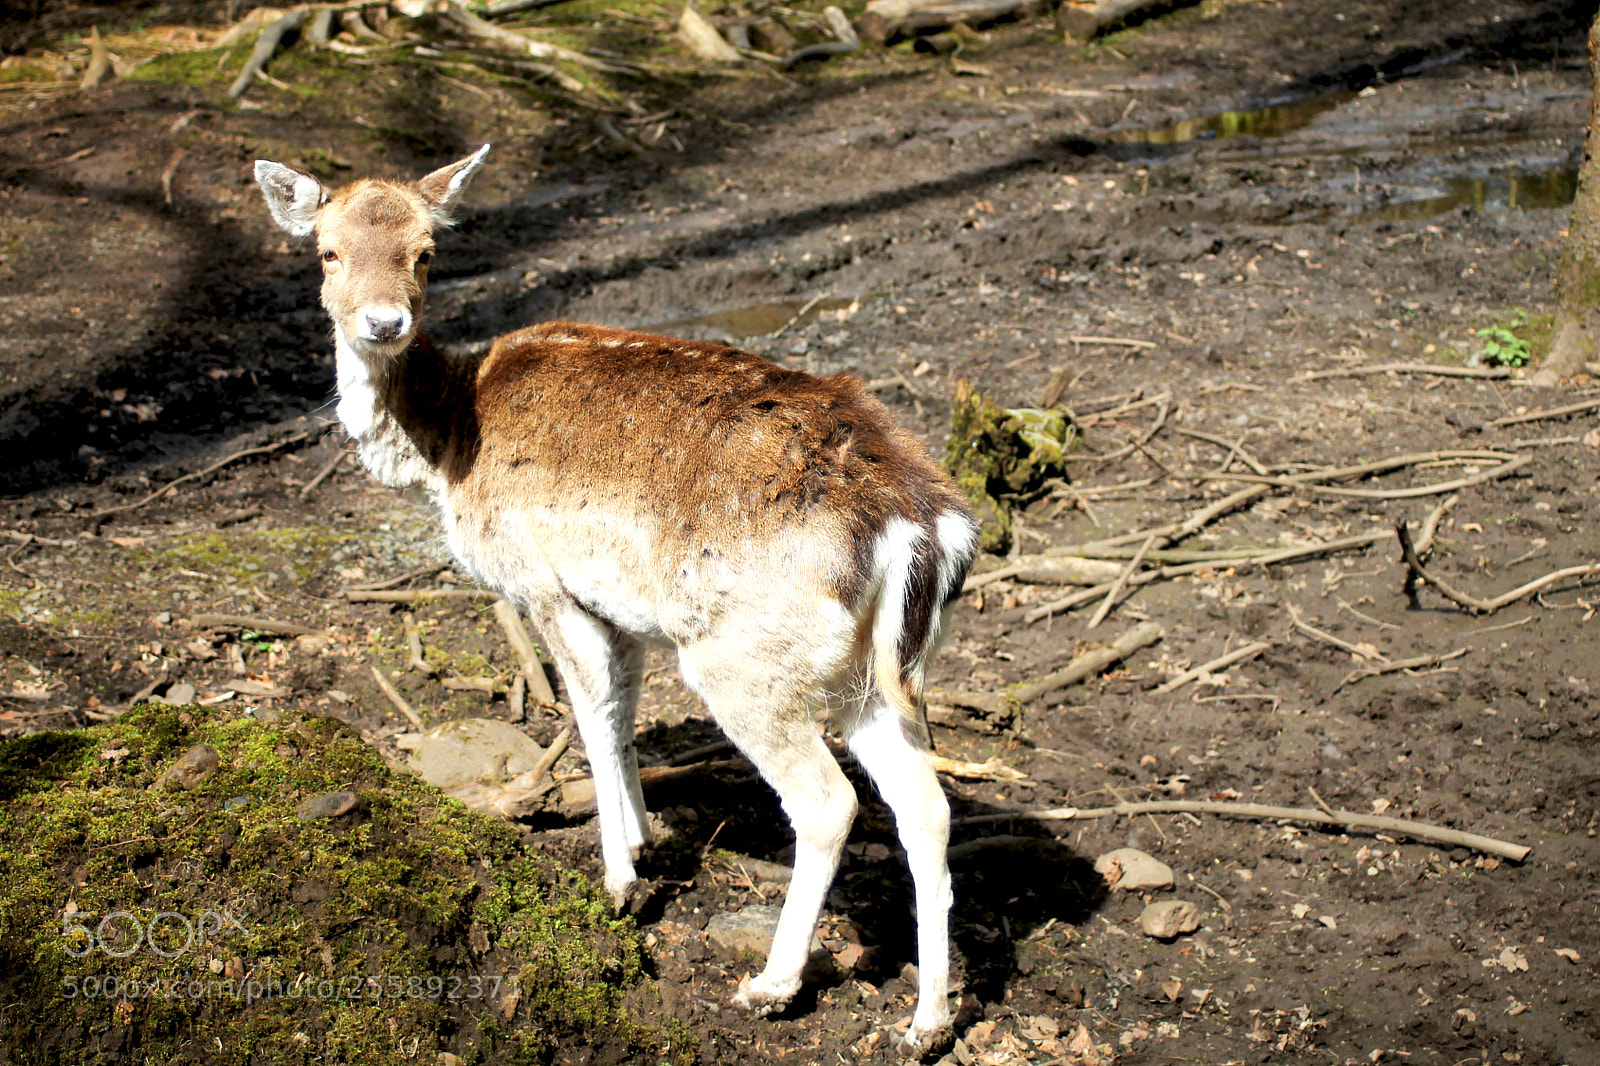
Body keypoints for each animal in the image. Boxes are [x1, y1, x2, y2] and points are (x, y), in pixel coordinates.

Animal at [254, 145, 978, 1053]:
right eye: (327, 252)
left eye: (426, 252)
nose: (383, 323)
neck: (447, 446)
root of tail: (922, 522)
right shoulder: (618, 610)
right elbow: (624, 716)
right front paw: (645, 841)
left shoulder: (541, 581)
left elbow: (590, 720)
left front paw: (618, 881)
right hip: (875, 675)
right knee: (928, 808)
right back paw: (927, 1022)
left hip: (747, 660)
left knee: (828, 802)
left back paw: (770, 984)